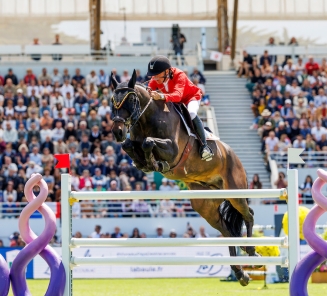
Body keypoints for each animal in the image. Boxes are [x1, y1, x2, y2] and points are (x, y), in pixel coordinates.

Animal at [111, 70, 260, 286]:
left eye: (131, 99)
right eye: (112, 99)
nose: (117, 131)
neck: (147, 118)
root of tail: (235, 156)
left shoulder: (173, 150)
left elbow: (148, 143)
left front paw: (156, 164)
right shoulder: (133, 142)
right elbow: (130, 145)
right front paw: (144, 163)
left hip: (235, 192)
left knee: (248, 215)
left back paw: (252, 251)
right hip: (205, 204)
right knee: (226, 230)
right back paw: (241, 273)